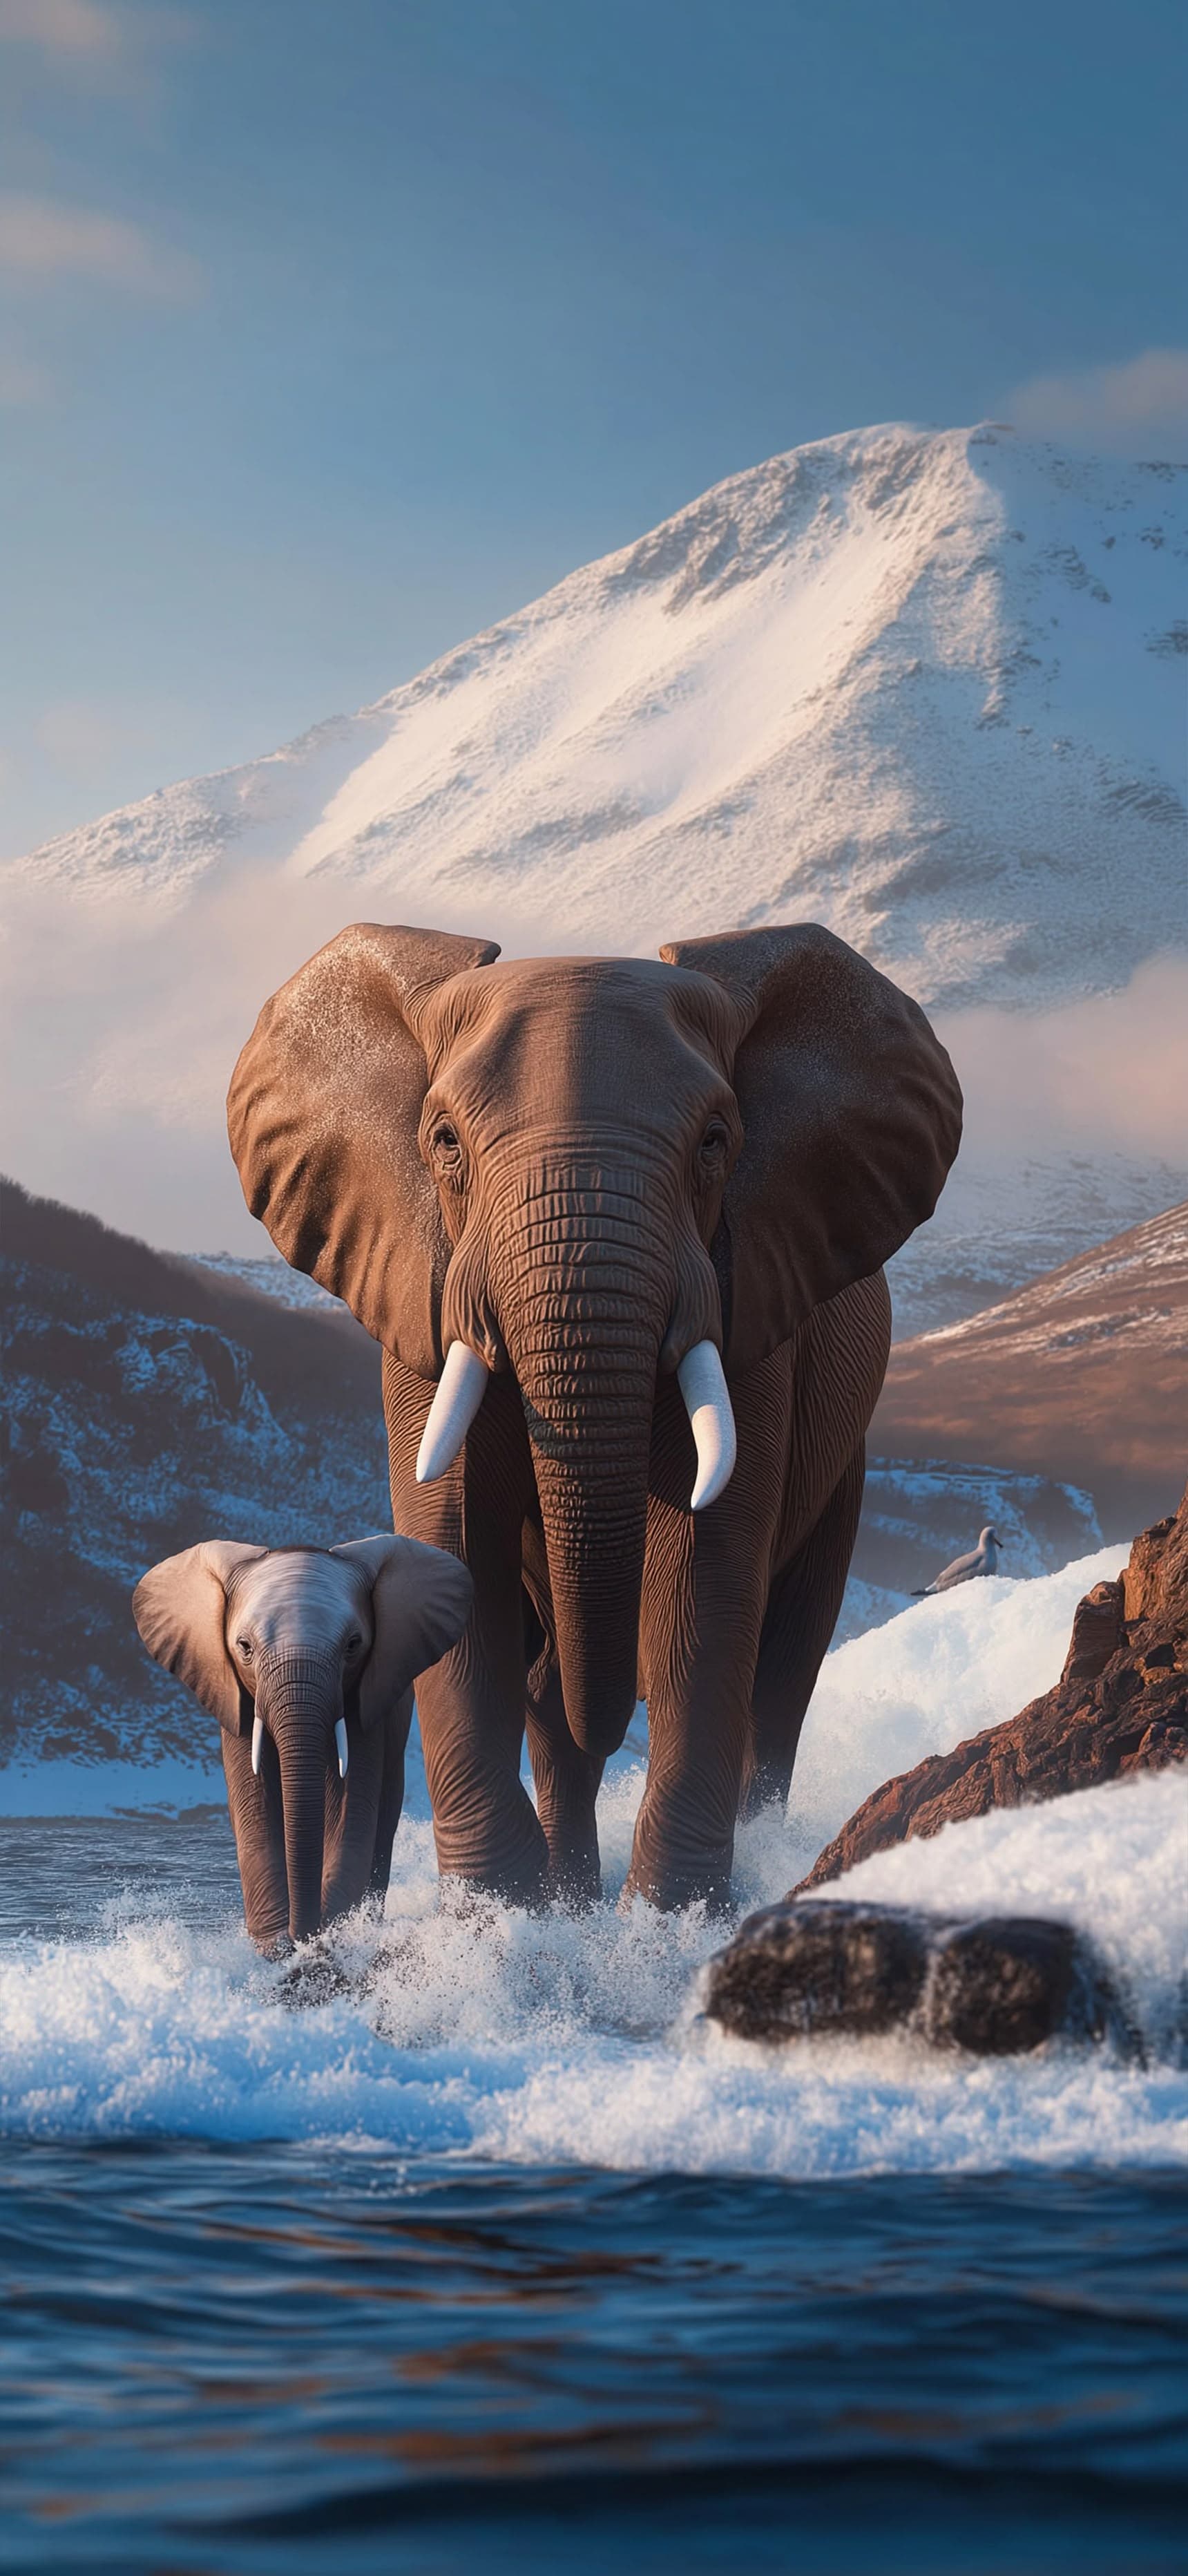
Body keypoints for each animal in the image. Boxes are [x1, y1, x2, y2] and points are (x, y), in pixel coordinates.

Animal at [132, 1534, 472, 1949]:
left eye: (353, 1645)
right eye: (244, 1647)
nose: (301, 1934)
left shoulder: (365, 1700)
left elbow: (349, 1809)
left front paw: (331, 1935)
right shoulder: (235, 1697)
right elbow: (254, 1806)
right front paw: (278, 1945)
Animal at [227, 920, 962, 1913]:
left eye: (716, 1141)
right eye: (444, 1140)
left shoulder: (748, 1303)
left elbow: (707, 1565)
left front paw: (670, 1921)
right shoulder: (421, 1302)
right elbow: (454, 1538)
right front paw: (501, 1923)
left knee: (784, 1664)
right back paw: (568, 1892)